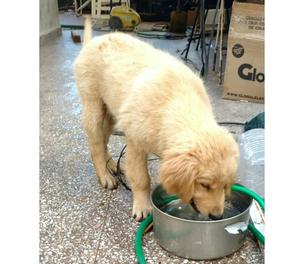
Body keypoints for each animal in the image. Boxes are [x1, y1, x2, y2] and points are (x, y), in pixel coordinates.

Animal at [74, 17, 239, 222]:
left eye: (225, 185)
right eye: (204, 185)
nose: (217, 216)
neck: (177, 103)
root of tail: (93, 41)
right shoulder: (135, 142)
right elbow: (141, 178)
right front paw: (143, 206)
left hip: (112, 112)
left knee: (103, 139)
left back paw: (111, 164)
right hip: (94, 106)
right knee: (96, 143)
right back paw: (105, 175)